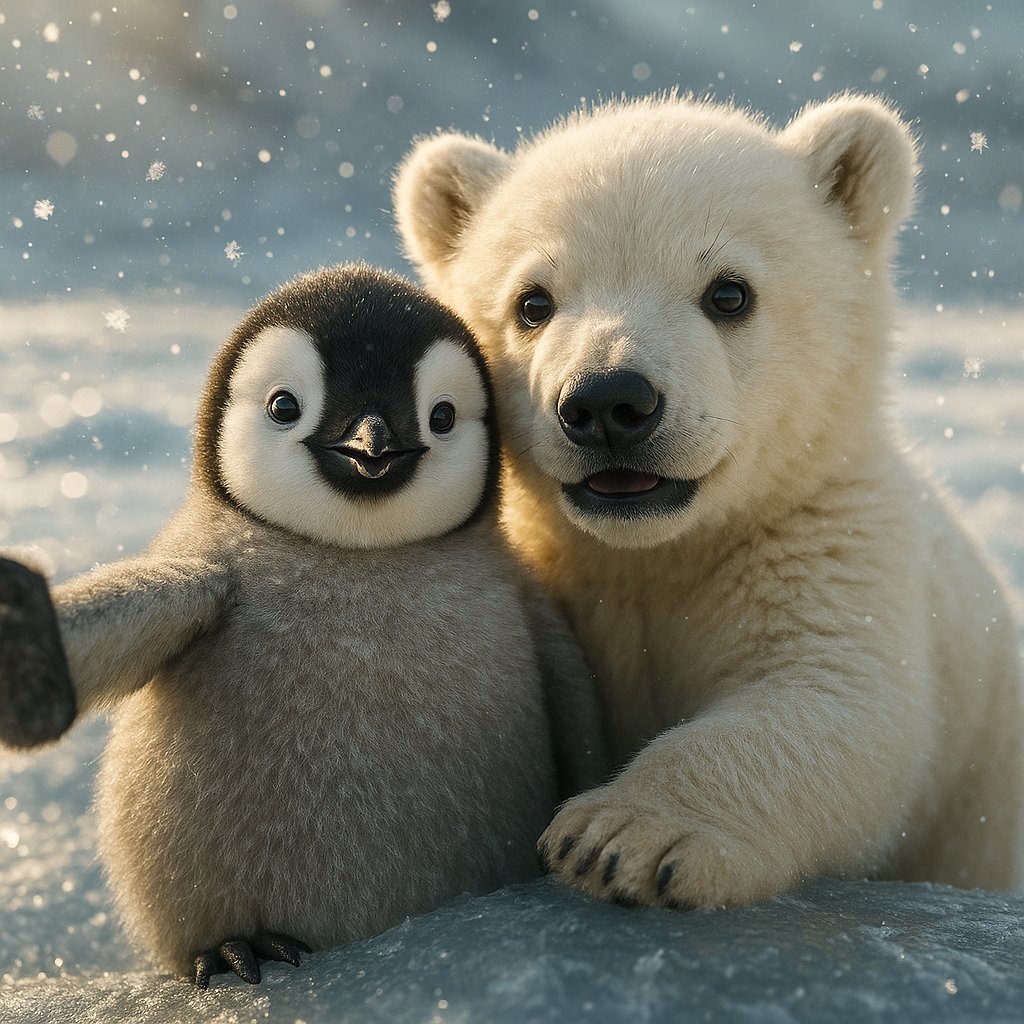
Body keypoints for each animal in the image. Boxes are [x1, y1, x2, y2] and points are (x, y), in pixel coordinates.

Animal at [392, 92, 1024, 909]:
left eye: (729, 292)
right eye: (532, 302)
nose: (608, 401)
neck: (654, 551)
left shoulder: (826, 537)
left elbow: (838, 700)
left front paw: (621, 837)